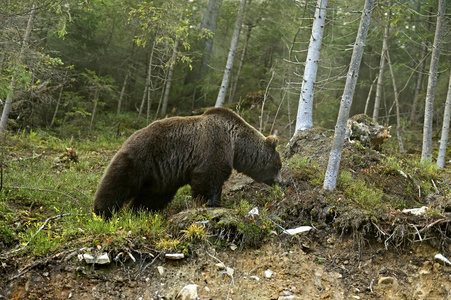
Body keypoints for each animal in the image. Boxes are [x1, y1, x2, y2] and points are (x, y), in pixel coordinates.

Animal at [92, 106, 282, 219]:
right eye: (279, 165)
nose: (282, 182)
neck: (236, 145)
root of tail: (130, 136)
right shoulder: (214, 146)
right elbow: (208, 177)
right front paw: (211, 203)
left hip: (160, 177)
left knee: (152, 197)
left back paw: (140, 213)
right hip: (141, 158)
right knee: (117, 184)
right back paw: (101, 213)